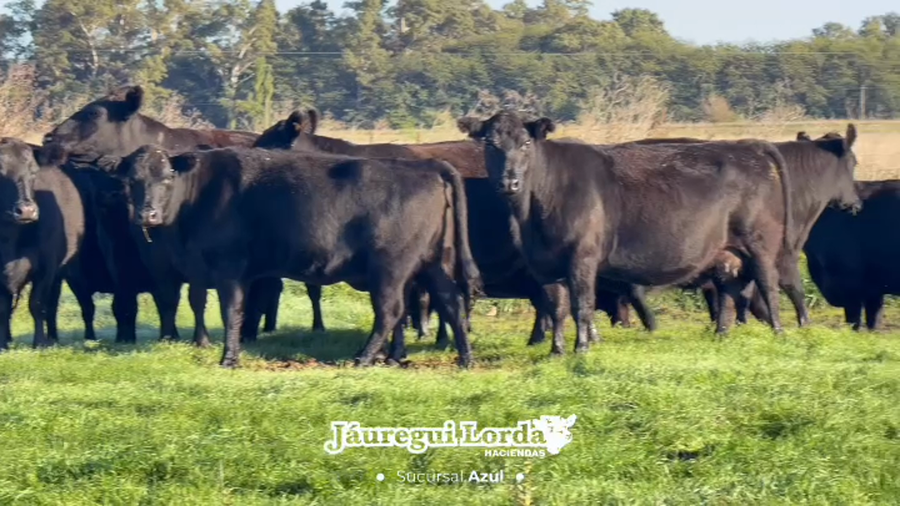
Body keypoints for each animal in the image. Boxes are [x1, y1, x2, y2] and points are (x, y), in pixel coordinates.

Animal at [0, 138, 89, 348]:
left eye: (33, 172)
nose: (26, 210)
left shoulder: (46, 267)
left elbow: (37, 304)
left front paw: (39, 342)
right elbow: (3, 308)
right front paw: (2, 343)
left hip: (61, 271)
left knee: (52, 304)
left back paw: (52, 337)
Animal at [100, 145, 481, 368]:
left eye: (167, 177)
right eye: (131, 180)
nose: (146, 215)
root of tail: (426, 167)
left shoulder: (229, 268)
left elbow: (231, 312)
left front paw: (230, 358)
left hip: (391, 268)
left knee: (391, 311)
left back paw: (362, 357)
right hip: (433, 262)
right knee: (451, 301)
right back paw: (464, 358)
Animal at [458, 111, 793, 353]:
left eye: (526, 143)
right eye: (490, 144)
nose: (509, 182)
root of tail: (748, 146)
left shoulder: (583, 258)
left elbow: (581, 305)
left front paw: (581, 348)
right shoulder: (543, 265)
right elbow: (556, 307)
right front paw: (556, 351)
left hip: (760, 244)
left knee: (768, 287)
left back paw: (778, 333)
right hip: (726, 253)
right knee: (728, 291)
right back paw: (721, 335)